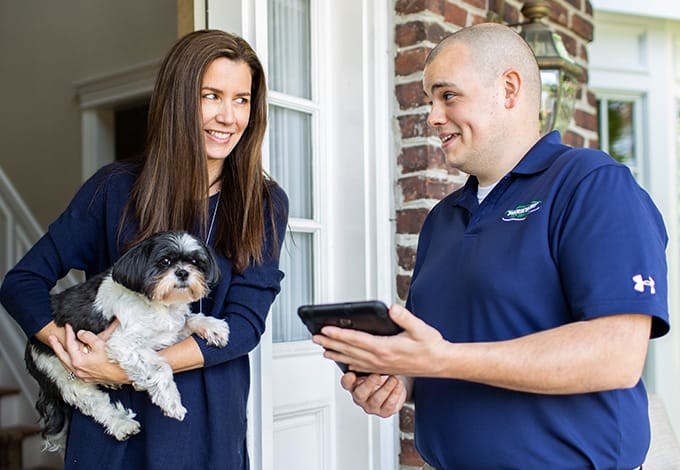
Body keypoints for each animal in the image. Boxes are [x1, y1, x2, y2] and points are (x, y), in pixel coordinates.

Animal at [25, 231, 230, 452]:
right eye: (165, 261)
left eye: (195, 262)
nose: (183, 272)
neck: (155, 304)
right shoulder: (122, 343)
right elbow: (160, 367)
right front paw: (171, 400)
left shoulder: (168, 333)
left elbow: (189, 320)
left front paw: (214, 327)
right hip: (59, 371)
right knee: (94, 403)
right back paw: (122, 424)